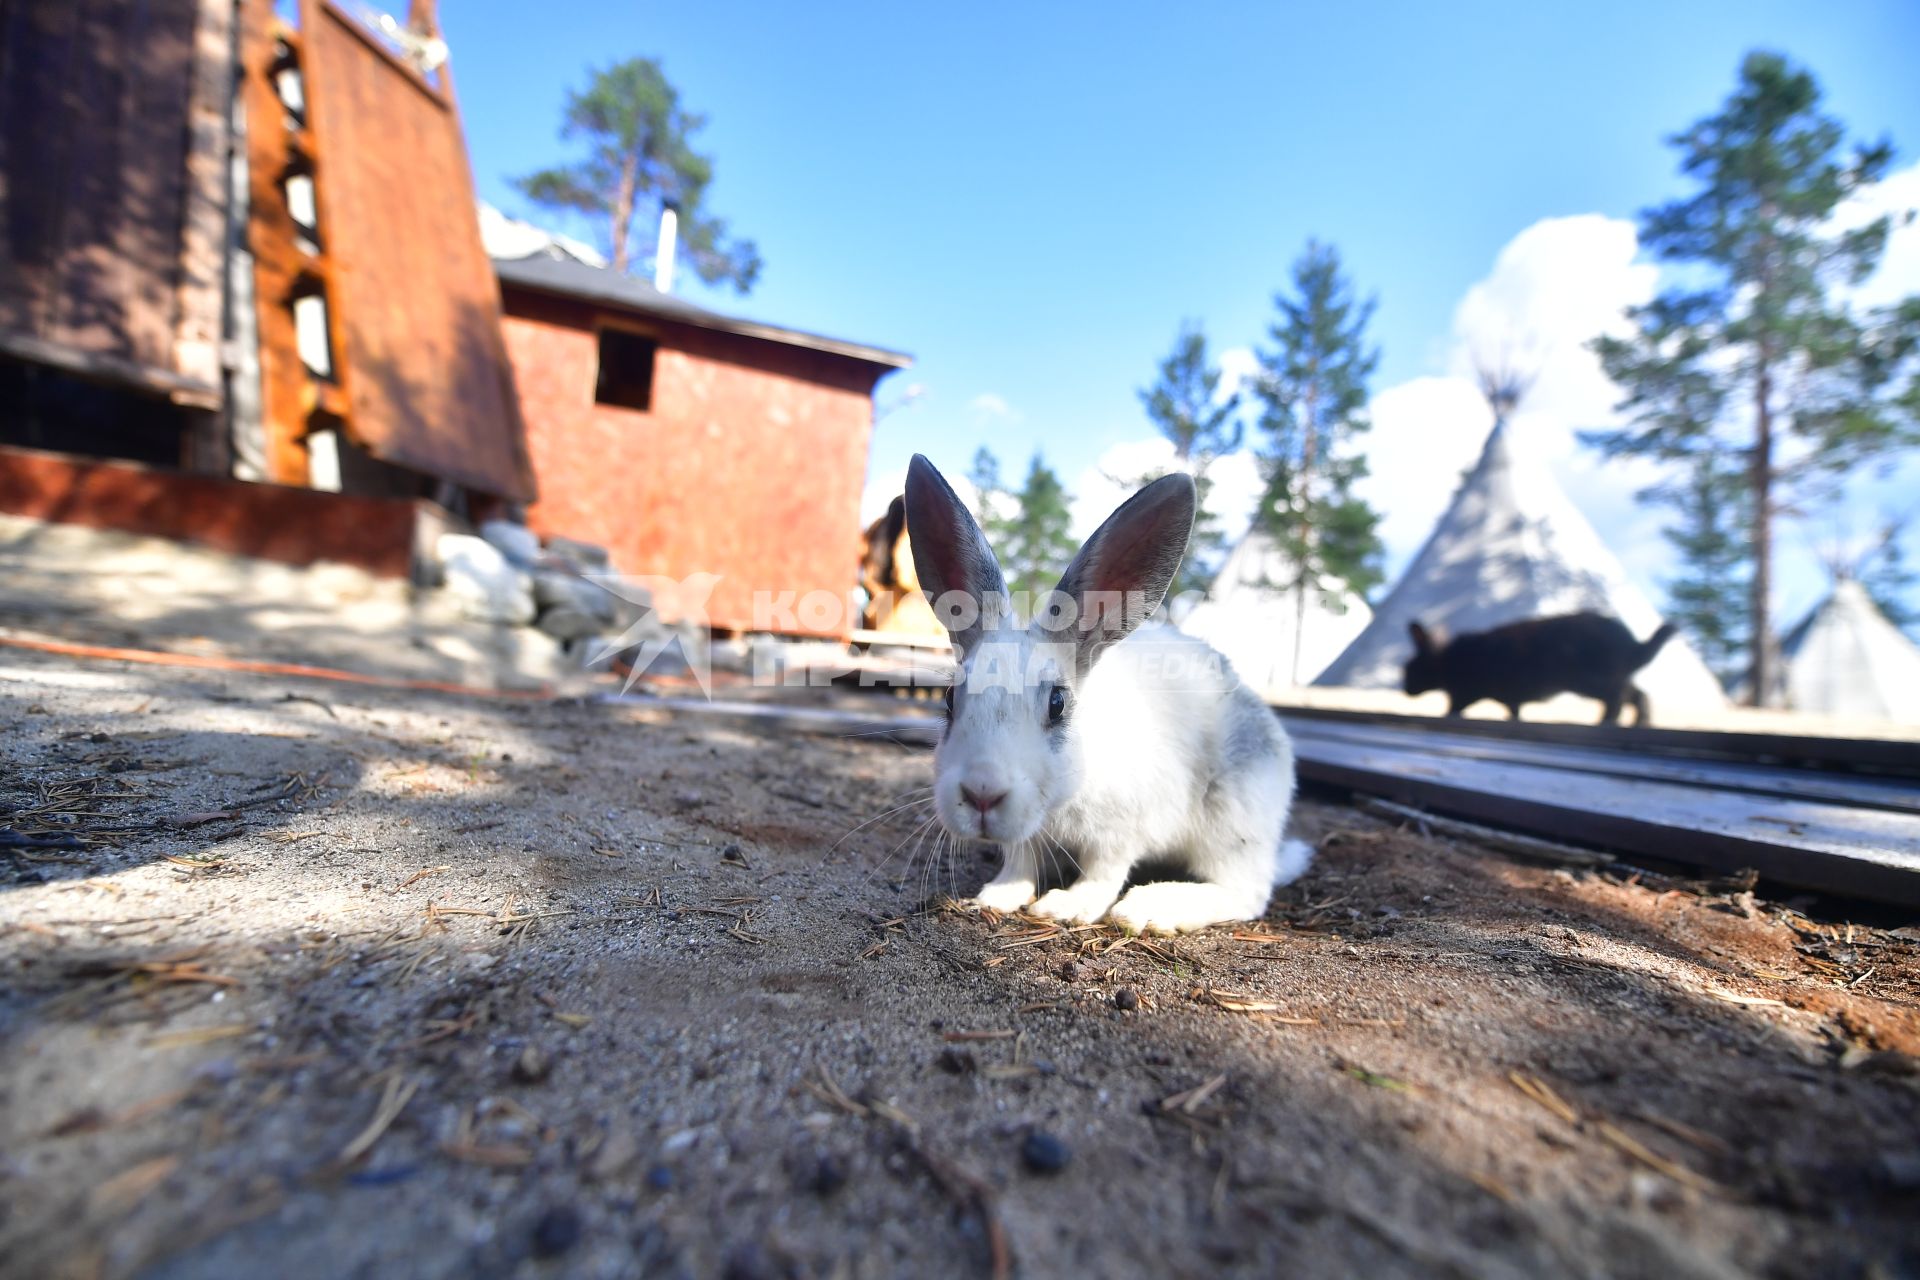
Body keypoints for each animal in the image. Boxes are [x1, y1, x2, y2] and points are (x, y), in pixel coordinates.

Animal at [906, 454, 1313, 936]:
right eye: (950, 699)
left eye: (1058, 703)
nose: (982, 794)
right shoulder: (1029, 839)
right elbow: (1020, 863)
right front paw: (997, 896)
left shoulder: (1122, 833)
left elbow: (1103, 874)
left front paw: (1064, 908)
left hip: (1231, 821)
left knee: (1245, 893)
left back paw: (1151, 907)